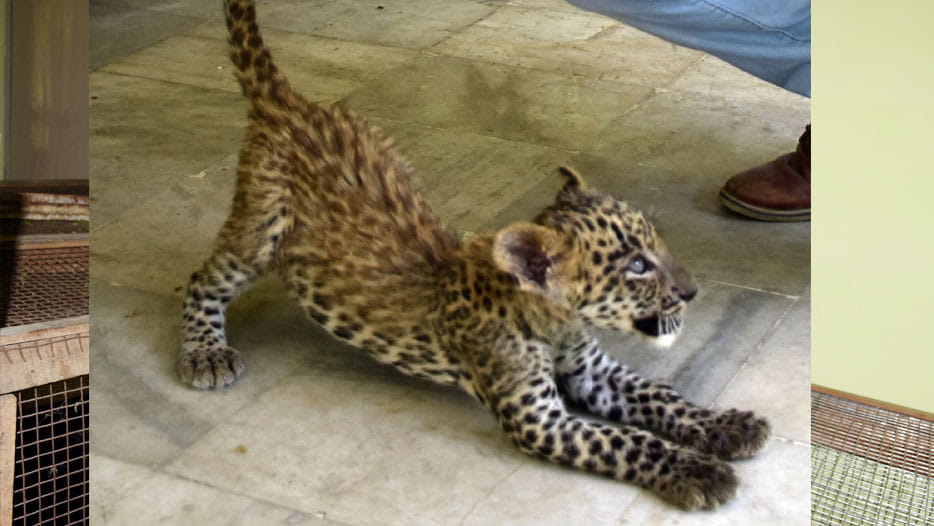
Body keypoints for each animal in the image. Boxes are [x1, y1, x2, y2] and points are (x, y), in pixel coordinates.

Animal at [179, 0, 771, 511]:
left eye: (654, 246)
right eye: (636, 266)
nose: (693, 291)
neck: (554, 320)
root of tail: (289, 102)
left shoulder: (592, 372)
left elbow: (659, 397)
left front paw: (729, 427)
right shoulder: (539, 418)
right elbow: (630, 443)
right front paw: (701, 472)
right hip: (258, 231)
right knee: (201, 280)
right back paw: (205, 353)